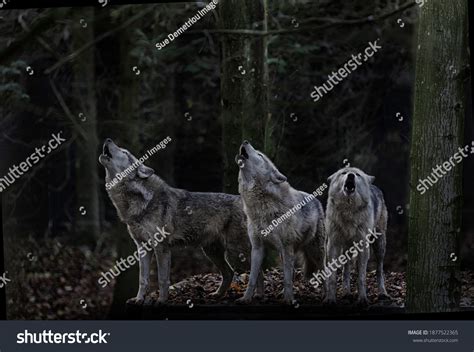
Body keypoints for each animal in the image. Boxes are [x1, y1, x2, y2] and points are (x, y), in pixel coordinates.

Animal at [97, 139, 260, 304]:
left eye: (124, 152)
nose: (108, 139)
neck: (139, 200)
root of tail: (242, 201)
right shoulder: (142, 247)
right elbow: (143, 279)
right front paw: (138, 300)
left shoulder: (161, 247)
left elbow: (162, 279)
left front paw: (161, 301)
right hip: (211, 251)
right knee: (229, 273)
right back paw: (217, 295)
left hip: (236, 251)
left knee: (257, 271)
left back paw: (252, 297)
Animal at [236, 142, 328, 304]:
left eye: (259, 155)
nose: (245, 141)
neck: (262, 207)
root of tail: (316, 200)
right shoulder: (257, 248)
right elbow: (253, 278)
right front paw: (246, 298)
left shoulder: (287, 246)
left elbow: (286, 279)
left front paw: (289, 300)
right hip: (284, 253)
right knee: (291, 272)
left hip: (315, 251)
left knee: (324, 273)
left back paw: (328, 296)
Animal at [326, 166, 388, 304]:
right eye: (343, 173)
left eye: (358, 175)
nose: (350, 175)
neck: (349, 210)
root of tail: (374, 185)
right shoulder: (333, 245)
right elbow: (332, 277)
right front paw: (330, 299)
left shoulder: (363, 247)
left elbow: (361, 277)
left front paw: (363, 299)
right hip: (346, 248)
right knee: (346, 269)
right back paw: (346, 293)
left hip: (380, 246)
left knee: (380, 270)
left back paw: (382, 293)